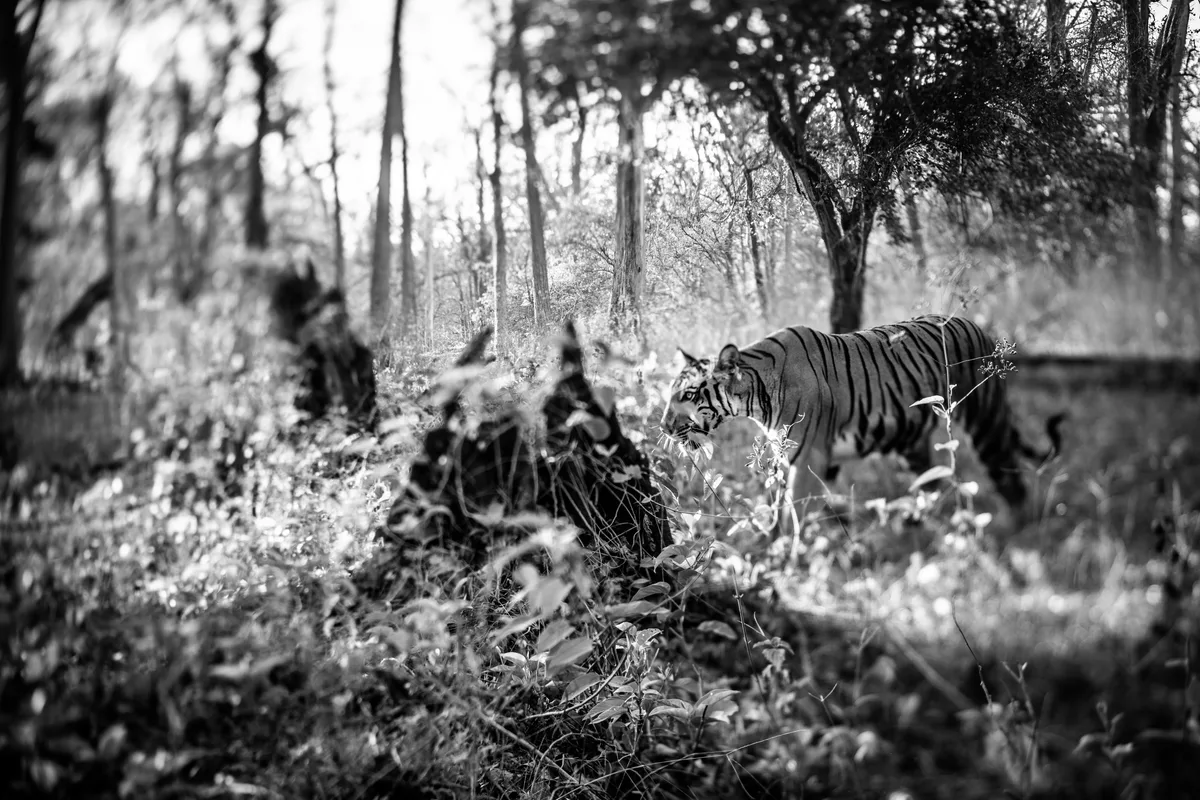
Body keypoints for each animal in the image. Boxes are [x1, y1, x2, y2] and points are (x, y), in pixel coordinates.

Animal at [661, 315, 1063, 530]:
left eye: (690, 395)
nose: (663, 428)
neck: (755, 395)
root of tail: (977, 325)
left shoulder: (807, 458)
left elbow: (794, 517)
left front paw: (785, 568)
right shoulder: (784, 456)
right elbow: (777, 508)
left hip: (985, 418)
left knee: (1009, 477)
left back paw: (1020, 533)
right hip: (912, 441)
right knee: (930, 485)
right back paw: (918, 527)